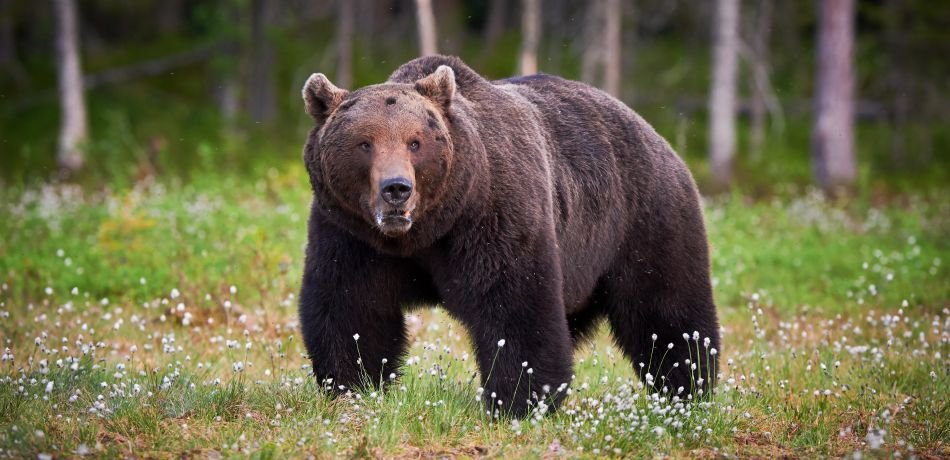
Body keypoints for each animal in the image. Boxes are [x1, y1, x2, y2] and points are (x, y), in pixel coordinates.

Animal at [298, 55, 720, 417]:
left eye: (415, 142)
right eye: (365, 143)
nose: (397, 188)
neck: (425, 231)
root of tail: (657, 136)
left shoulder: (494, 214)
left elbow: (514, 305)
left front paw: (517, 400)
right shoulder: (352, 234)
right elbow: (351, 306)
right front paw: (353, 384)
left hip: (644, 221)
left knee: (666, 311)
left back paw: (688, 389)